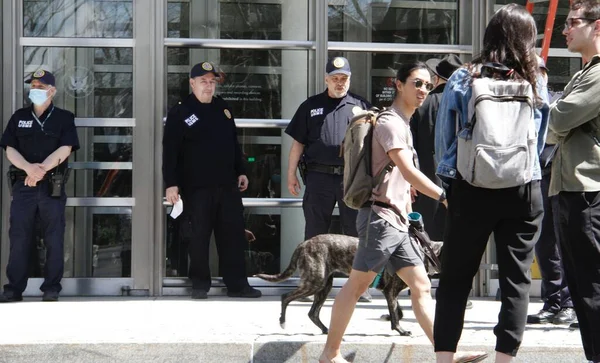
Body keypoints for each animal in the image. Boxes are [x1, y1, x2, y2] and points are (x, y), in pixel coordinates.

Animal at [253, 235, 440, 336]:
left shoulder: (390, 293)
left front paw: (387, 317)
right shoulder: (390, 291)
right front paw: (400, 330)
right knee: (285, 297)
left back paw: (326, 330)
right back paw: (283, 321)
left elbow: (398, 312)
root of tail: (304, 243)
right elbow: (396, 315)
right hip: (315, 282)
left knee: (313, 313)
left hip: (324, 285)